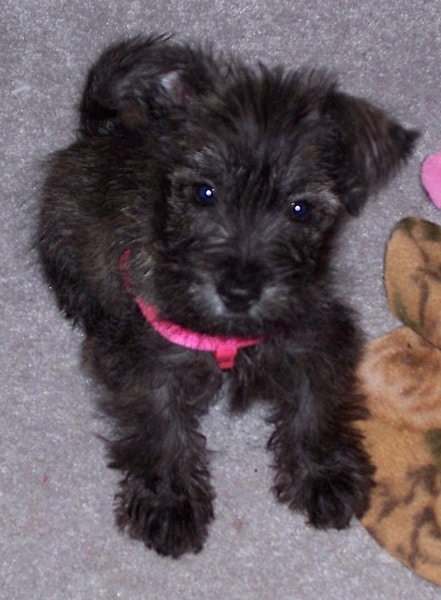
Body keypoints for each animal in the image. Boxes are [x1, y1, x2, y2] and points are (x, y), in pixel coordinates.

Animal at [37, 34, 416, 556]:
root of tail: (102, 129)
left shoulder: (315, 335)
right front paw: (169, 503)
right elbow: (161, 427)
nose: (239, 290)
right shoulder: (147, 357)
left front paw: (323, 475)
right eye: (204, 192)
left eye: (300, 209)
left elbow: (316, 405)